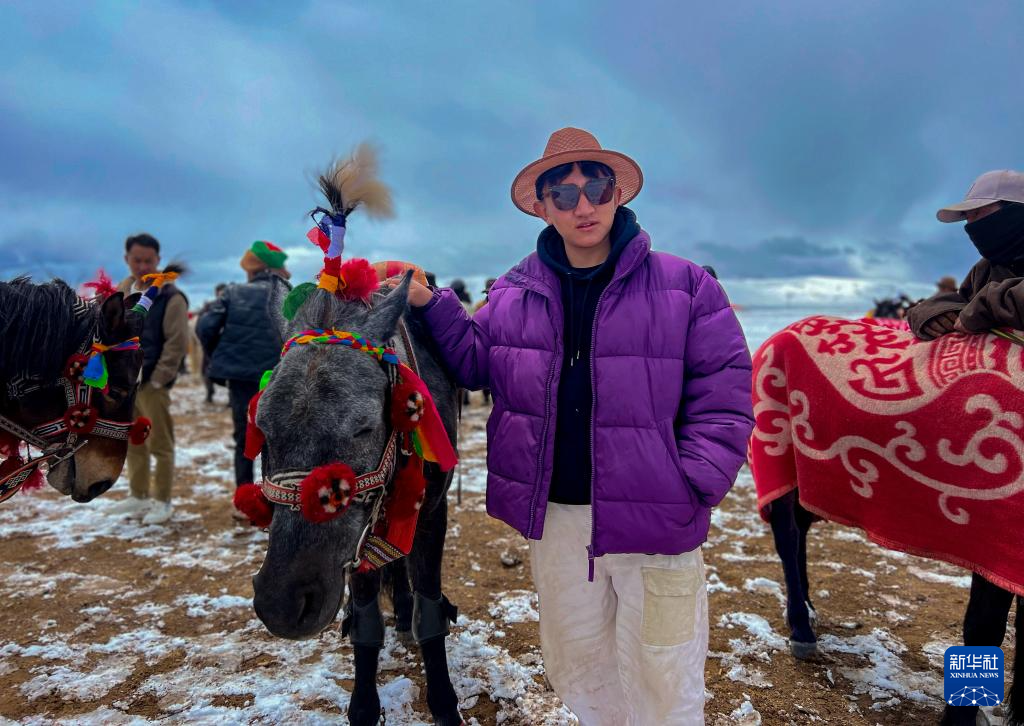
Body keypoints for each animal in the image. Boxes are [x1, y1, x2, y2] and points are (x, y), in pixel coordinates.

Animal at [247, 152, 463, 725]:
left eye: (365, 425)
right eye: (263, 428)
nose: (283, 603)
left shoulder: (431, 511)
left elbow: (429, 609)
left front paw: (445, 701)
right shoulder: (360, 535)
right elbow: (367, 618)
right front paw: (364, 705)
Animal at [750, 314, 1024, 726]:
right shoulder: (995, 544)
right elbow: (984, 627)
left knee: (800, 534)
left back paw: (809, 611)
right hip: (779, 450)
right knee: (787, 536)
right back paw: (801, 628)